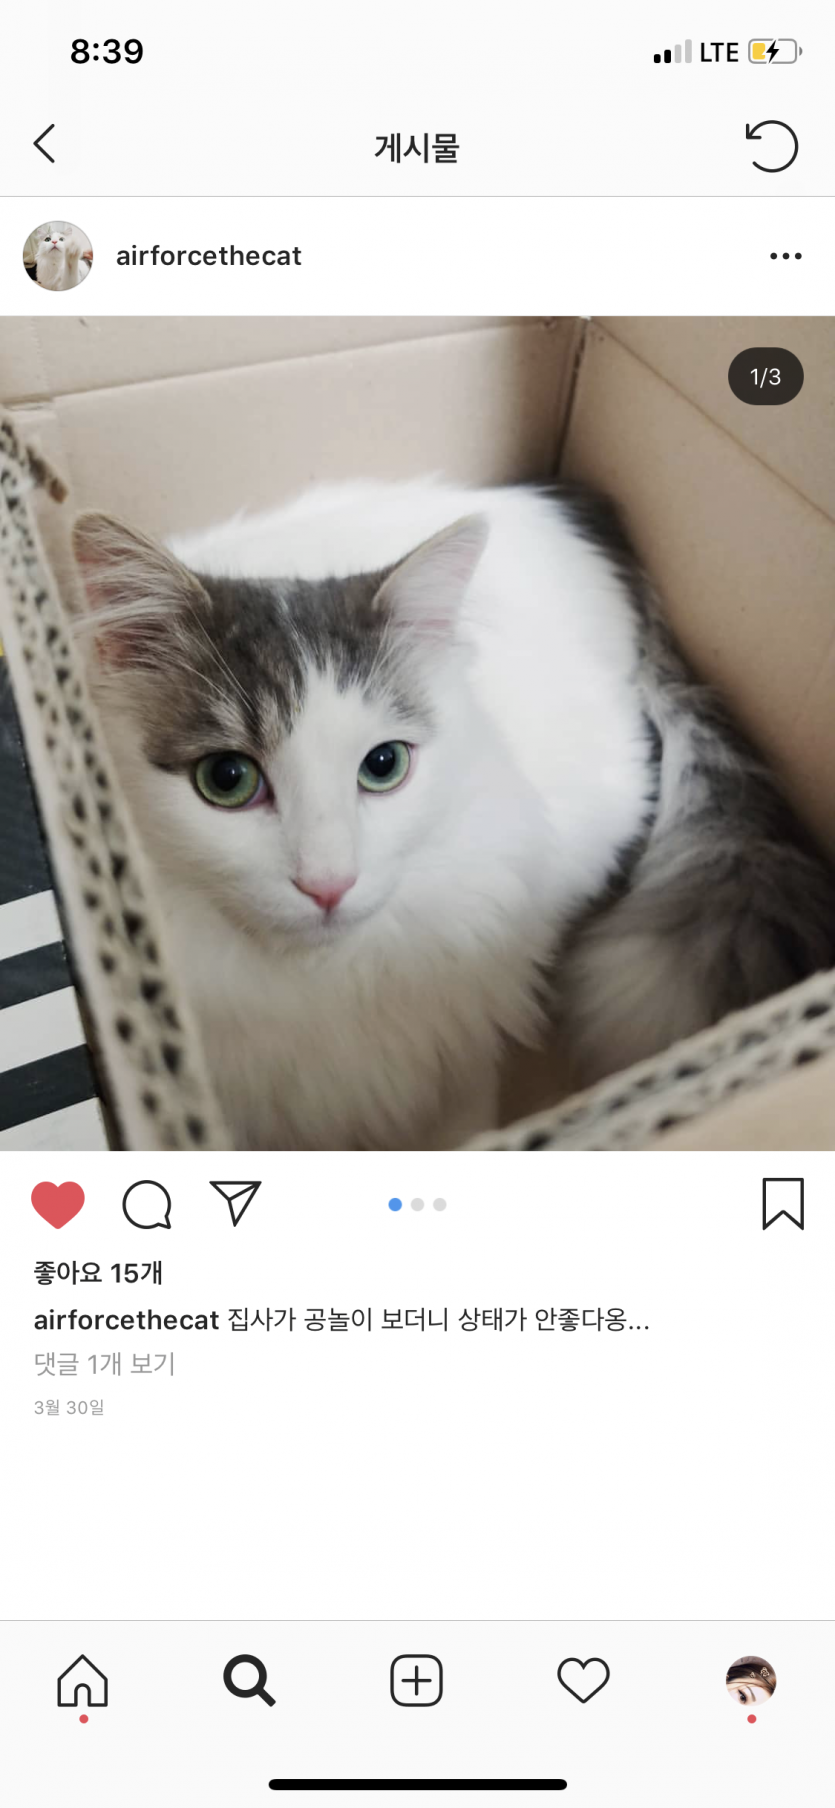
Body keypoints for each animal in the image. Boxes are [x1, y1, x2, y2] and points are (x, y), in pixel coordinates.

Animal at [70, 478, 835, 1148]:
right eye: (226, 779)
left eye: (383, 766)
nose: (327, 885)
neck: (320, 991)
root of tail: (574, 506)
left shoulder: (461, 1060)